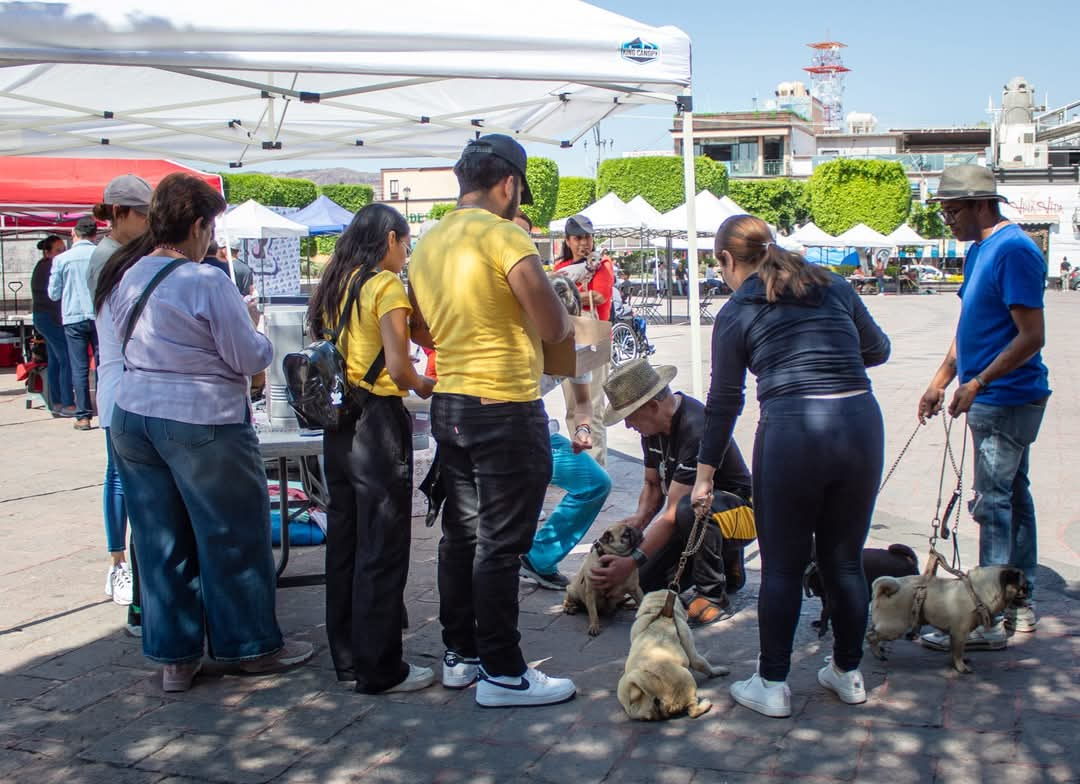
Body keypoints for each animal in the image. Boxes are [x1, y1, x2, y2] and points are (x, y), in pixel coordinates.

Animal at [617, 587, 725, 725]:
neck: (659, 612)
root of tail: (650, 695)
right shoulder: (689, 645)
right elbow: (702, 663)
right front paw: (717, 671)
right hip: (686, 679)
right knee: (692, 710)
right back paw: (705, 704)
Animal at [859, 565, 1028, 673]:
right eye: (1022, 587)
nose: (1030, 588)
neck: (977, 592)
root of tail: (882, 588)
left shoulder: (957, 634)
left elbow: (955, 650)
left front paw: (958, 662)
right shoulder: (960, 632)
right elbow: (958, 651)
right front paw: (961, 667)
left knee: (872, 630)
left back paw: (879, 649)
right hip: (895, 626)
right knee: (870, 635)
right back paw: (878, 654)